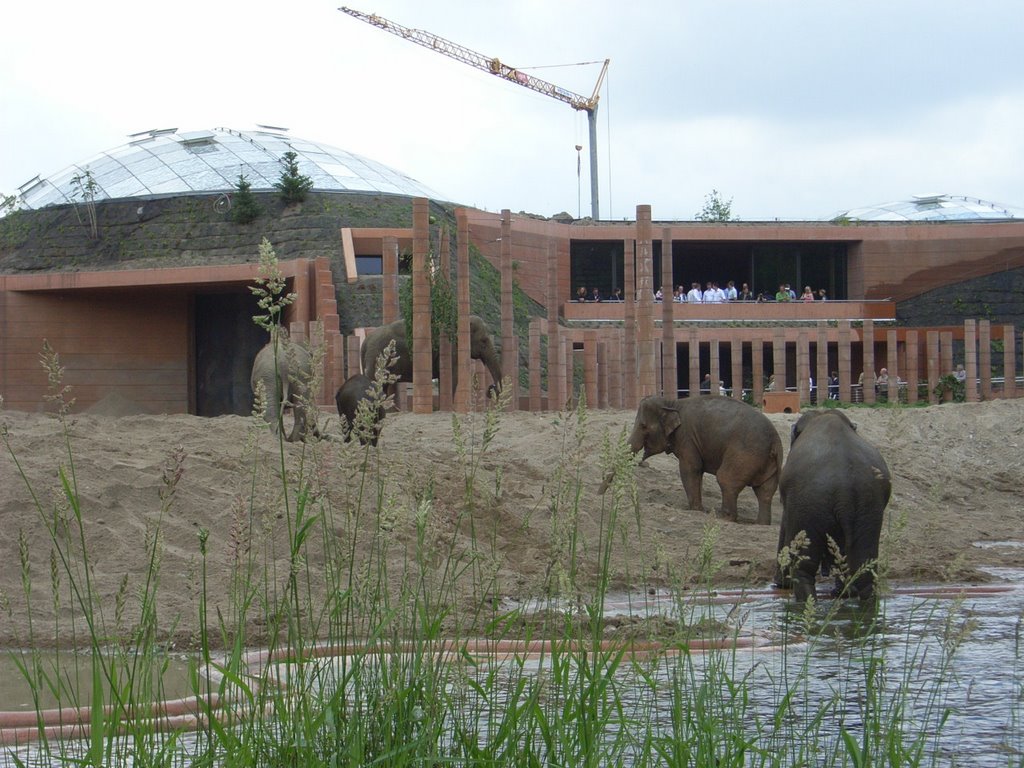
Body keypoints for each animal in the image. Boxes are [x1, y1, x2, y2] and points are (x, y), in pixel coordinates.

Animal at [362, 317, 501, 403]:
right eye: (483, 340)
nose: (491, 389)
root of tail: (365, 341)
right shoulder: (451, 349)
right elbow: (453, 377)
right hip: (377, 358)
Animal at [606, 393, 782, 528]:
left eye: (643, 426)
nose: (603, 493)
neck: (671, 403)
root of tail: (775, 441)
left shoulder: (686, 437)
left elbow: (691, 468)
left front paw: (696, 510)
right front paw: (699, 509)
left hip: (743, 455)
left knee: (726, 480)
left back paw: (723, 518)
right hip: (767, 464)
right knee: (765, 492)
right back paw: (761, 524)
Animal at [774, 411, 888, 606]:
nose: (778, 583)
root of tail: (845, 490)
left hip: (809, 505)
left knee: (804, 567)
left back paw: (807, 602)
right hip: (868, 506)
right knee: (864, 566)